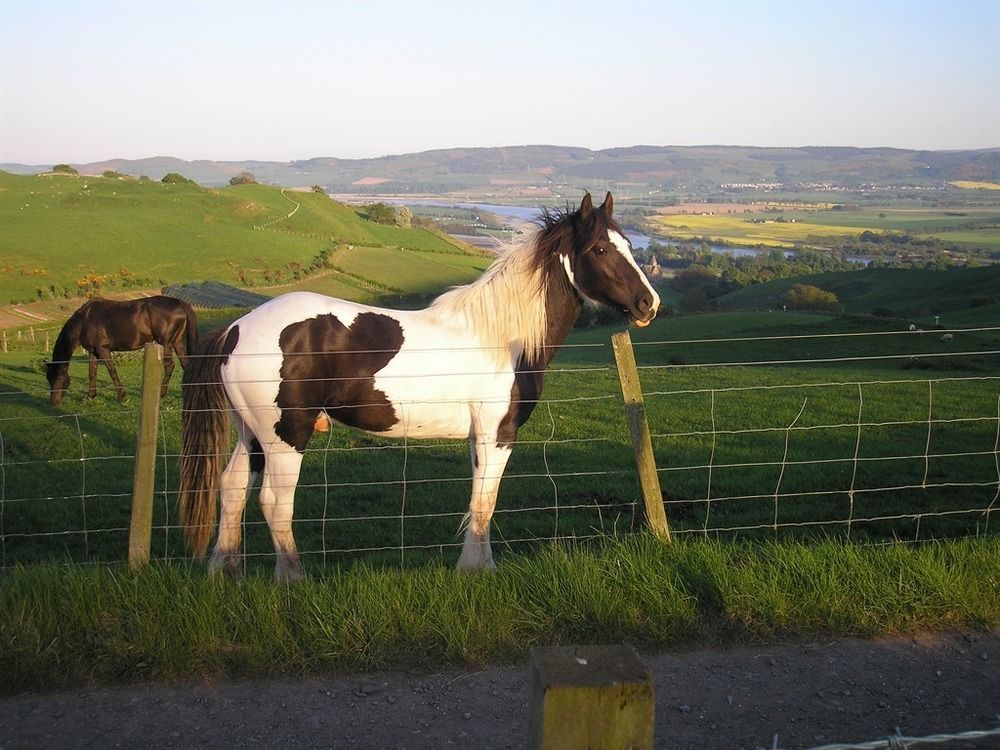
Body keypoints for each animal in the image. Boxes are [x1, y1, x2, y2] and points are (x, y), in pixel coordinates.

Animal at [46, 296, 199, 408]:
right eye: (48, 378)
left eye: (58, 379)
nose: (54, 402)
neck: (85, 320)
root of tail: (180, 303)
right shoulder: (93, 352)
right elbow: (92, 373)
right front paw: (91, 396)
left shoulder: (103, 349)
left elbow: (112, 371)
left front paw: (122, 396)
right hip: (177, 342)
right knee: (186, 364)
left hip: (166, 343)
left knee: (169, 366)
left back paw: (161, 393)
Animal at [178, 194, 664, 580]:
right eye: (600, 248)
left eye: (629, 246)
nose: (649, 304)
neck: (500, 339)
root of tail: (236, 330)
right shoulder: (498, 435)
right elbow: (486, 501)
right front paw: (479, 570)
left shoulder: (478, 438)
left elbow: (477, 497)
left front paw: (473, 565)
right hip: (287, 436)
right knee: (274, 502)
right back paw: (293, 578)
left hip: (252, 435)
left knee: (232, 488)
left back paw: (226, 570)